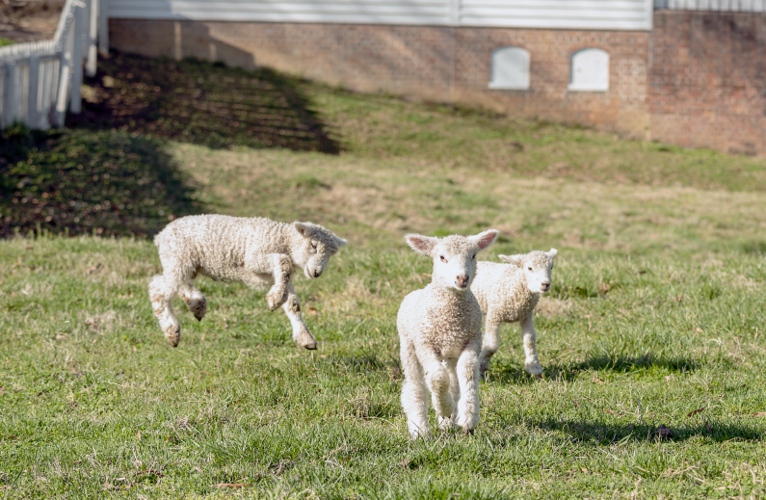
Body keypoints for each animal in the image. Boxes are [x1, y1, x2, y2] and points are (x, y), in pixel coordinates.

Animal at [148, 214, 347, 348]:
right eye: (313, 245)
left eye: (330, 255)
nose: (317, 272)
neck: (282, 239)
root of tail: (159, 236)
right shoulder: (254, 258)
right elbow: (284, 262)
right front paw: (275, 300)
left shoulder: (278, 277)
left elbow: (293, 304)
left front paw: (306, 339)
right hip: (178, 259)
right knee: (158, 289)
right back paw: (172, 331)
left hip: (187, 263)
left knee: (179, 284)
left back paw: (197, 304)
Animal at [397, 229, 499, 438]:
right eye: (442, 257)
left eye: (473, 255)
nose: (462, 278)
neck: (451, 319)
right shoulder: (425, 344)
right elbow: (437, 378)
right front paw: (444, 408)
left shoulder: (472, 340)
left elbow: (467, 371)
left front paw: (467, 417)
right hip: (409, 347)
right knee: (415, 386)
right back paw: (420, 429)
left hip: (450, 353)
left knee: (453, 380)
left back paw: (447, 422)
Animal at [470, 249, 558, 378]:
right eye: (530, 268)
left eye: (551, 267)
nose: (545, 284)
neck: (516, 282)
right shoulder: (494, 313)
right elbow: (492, 344)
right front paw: (481, 367)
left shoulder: (527, 315)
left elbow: (529, 340)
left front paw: (534, 367)